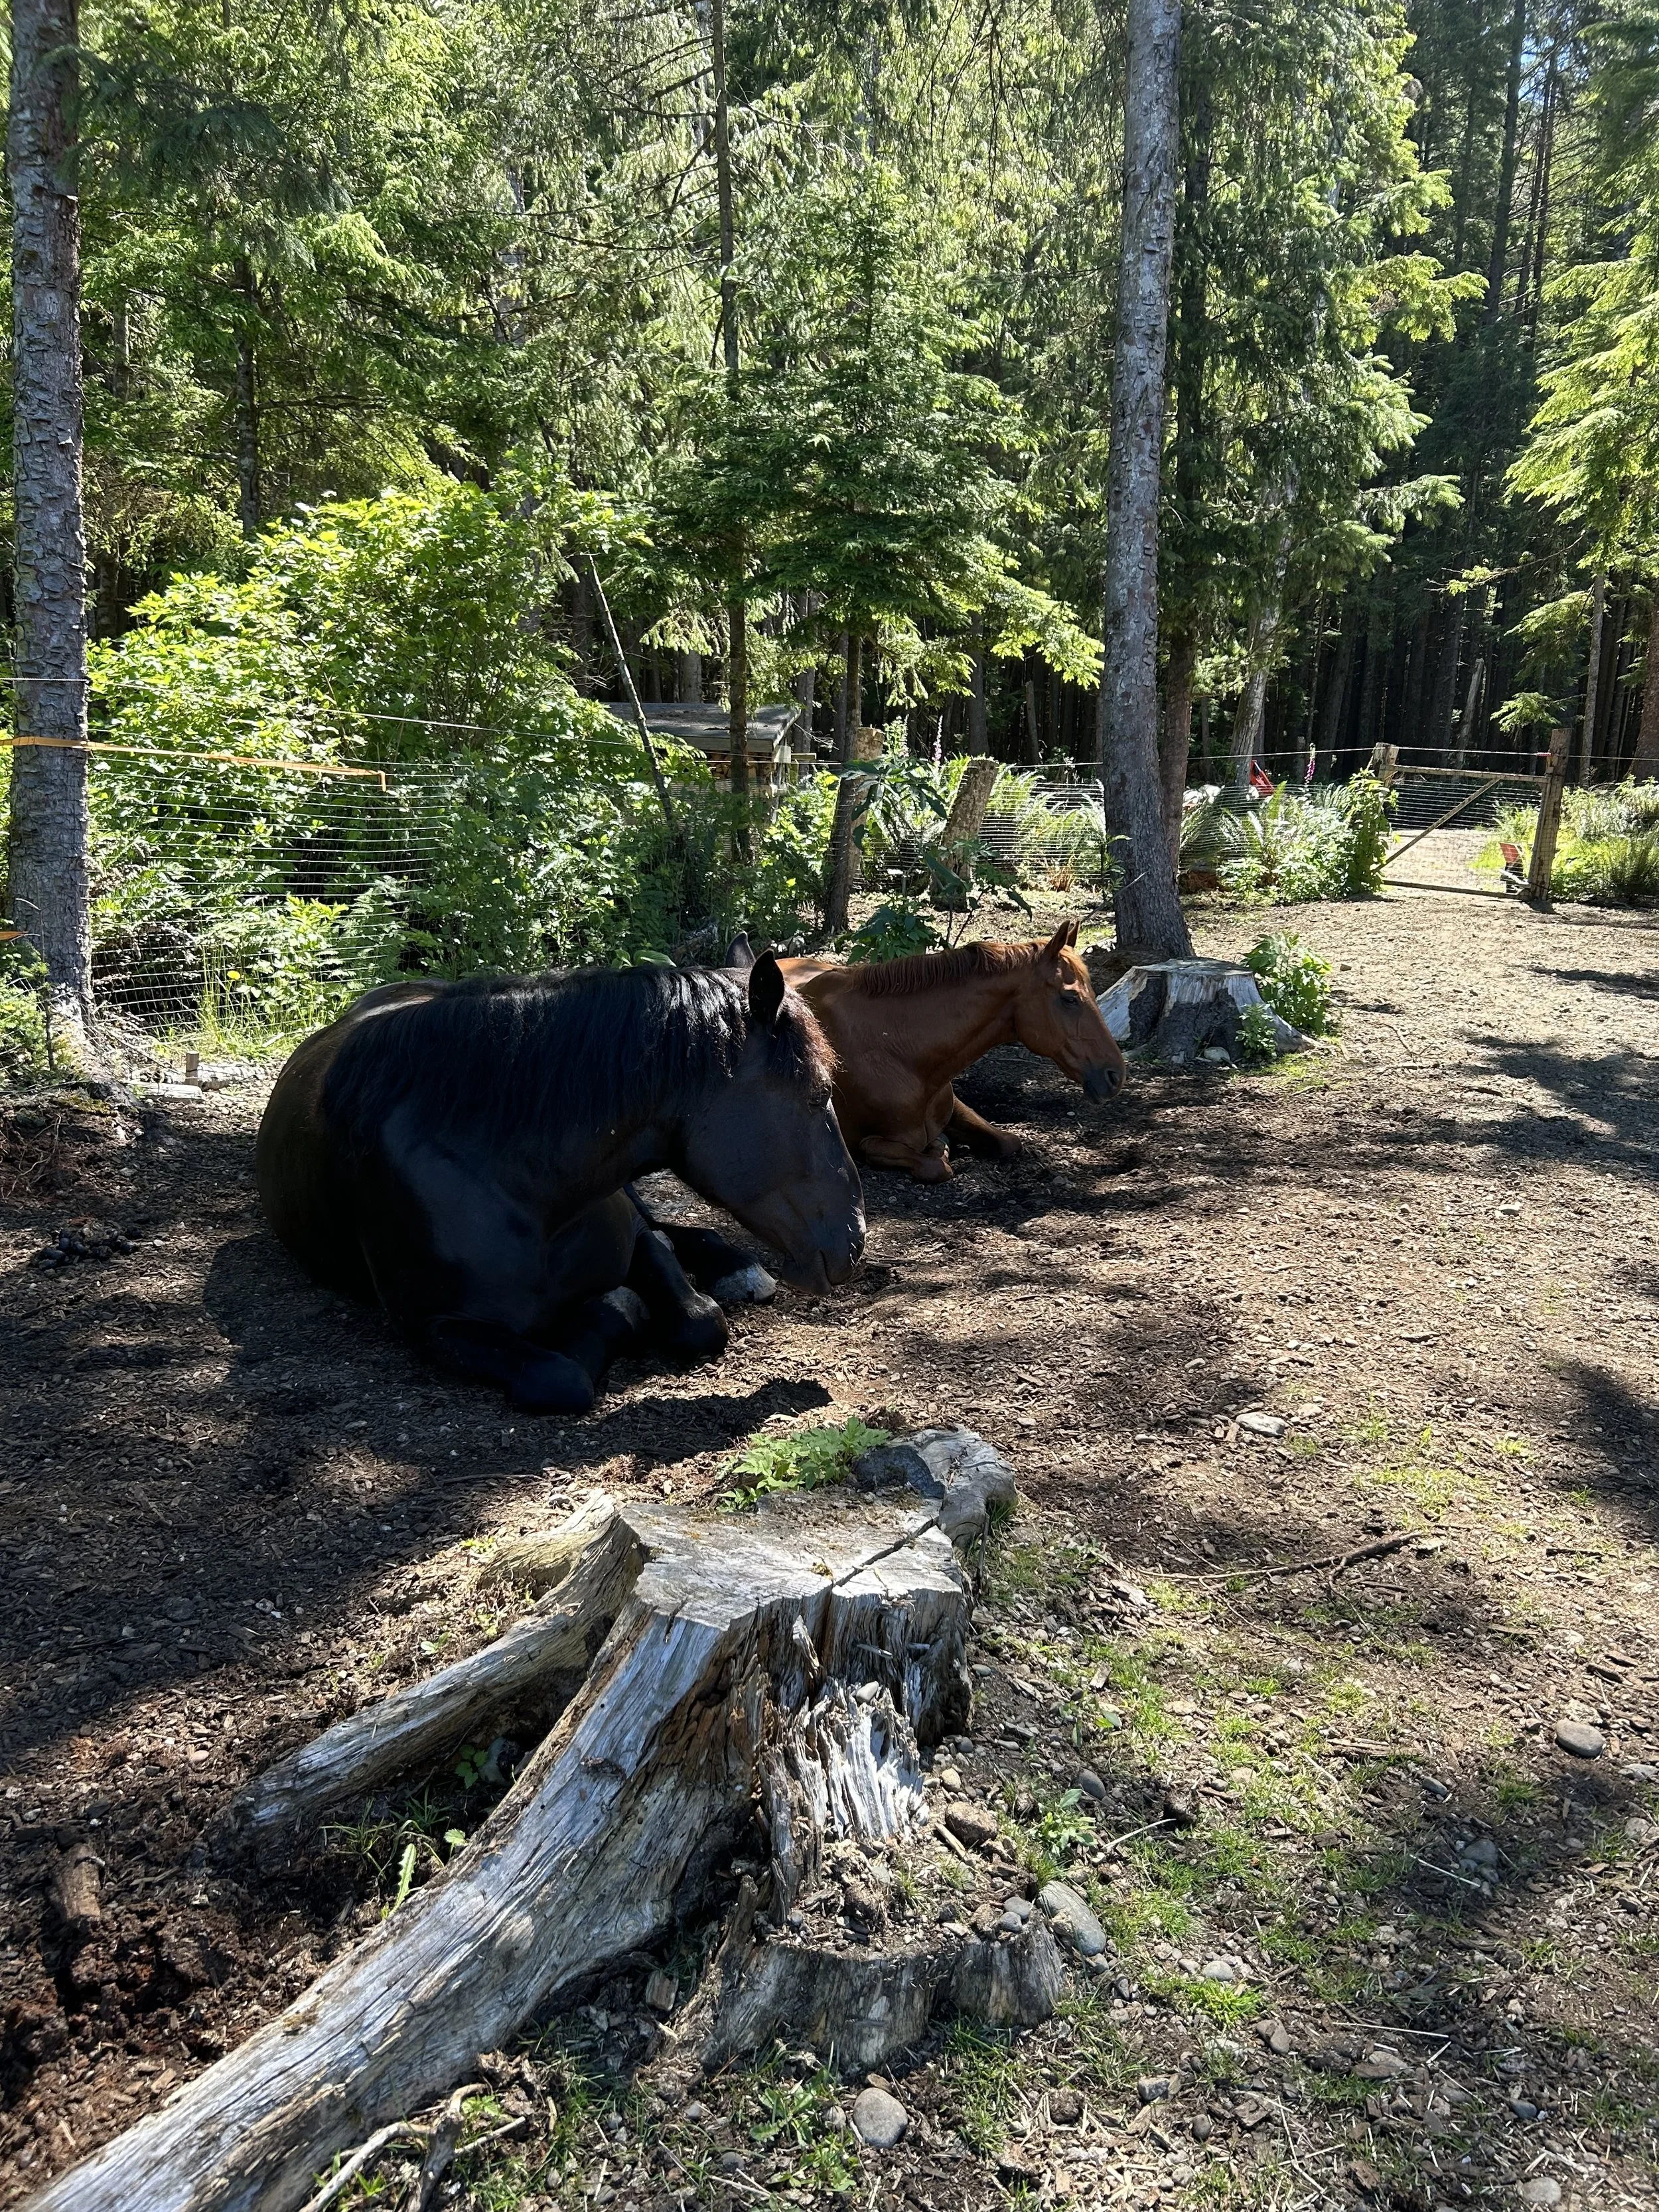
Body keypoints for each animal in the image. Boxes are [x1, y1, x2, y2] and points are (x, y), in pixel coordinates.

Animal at [255, 955, 865, 1411]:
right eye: (817, 1095)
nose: (855, 1240)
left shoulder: (633, 1235)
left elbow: (699, 1319)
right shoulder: (434, 1326)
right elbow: (561, 1376)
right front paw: (618, 1306)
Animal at [728, 923, 1125, 1182]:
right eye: (1070, 999)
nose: (1115, 1075)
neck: (901, 1053)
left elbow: (1009, 1142)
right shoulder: (863, 1143)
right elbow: (934, 1163)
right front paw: (940, 1150)